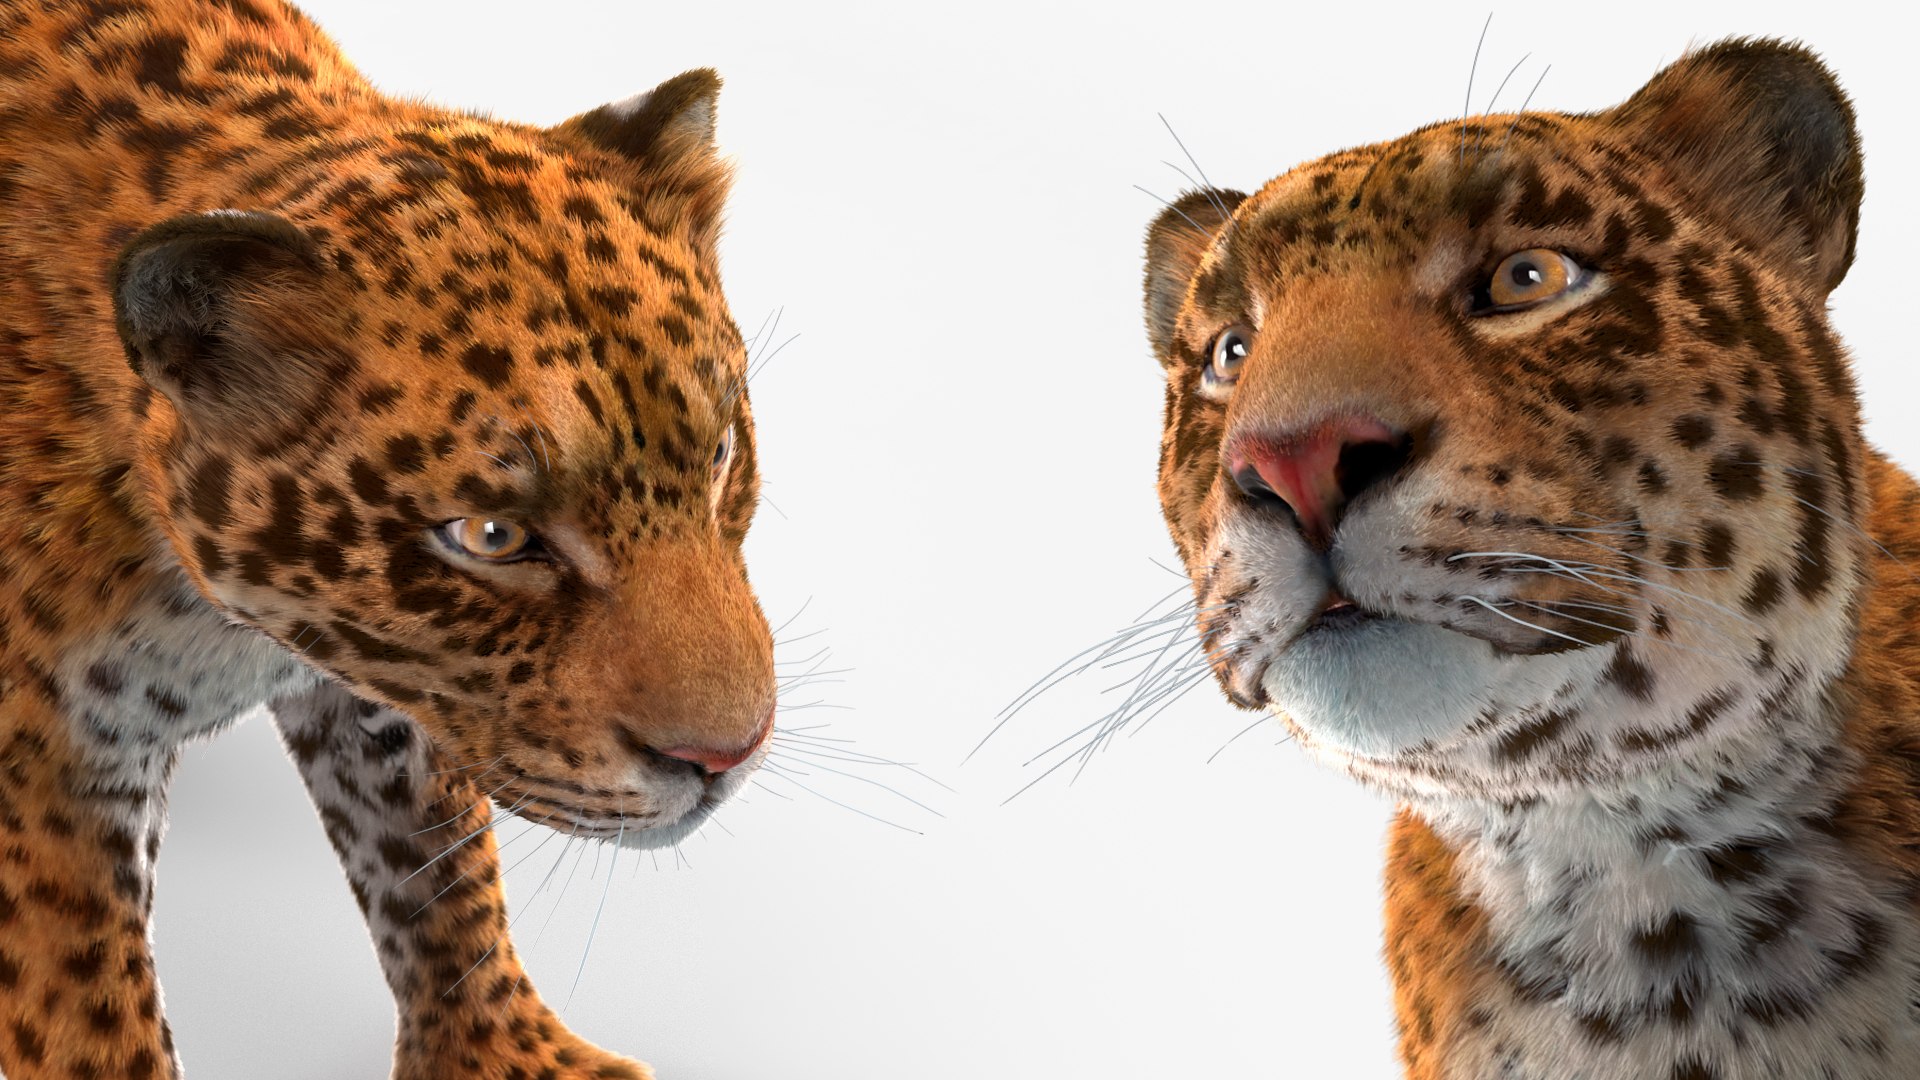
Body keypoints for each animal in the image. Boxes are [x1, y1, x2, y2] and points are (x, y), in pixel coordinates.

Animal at [0, 1, 780, 1077]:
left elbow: (432, 862)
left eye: (719, 456)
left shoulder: (391, 687)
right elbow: (83, 1003)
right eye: (492, 535)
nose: (727, 756)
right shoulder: (42, 757)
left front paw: (501, 1054)